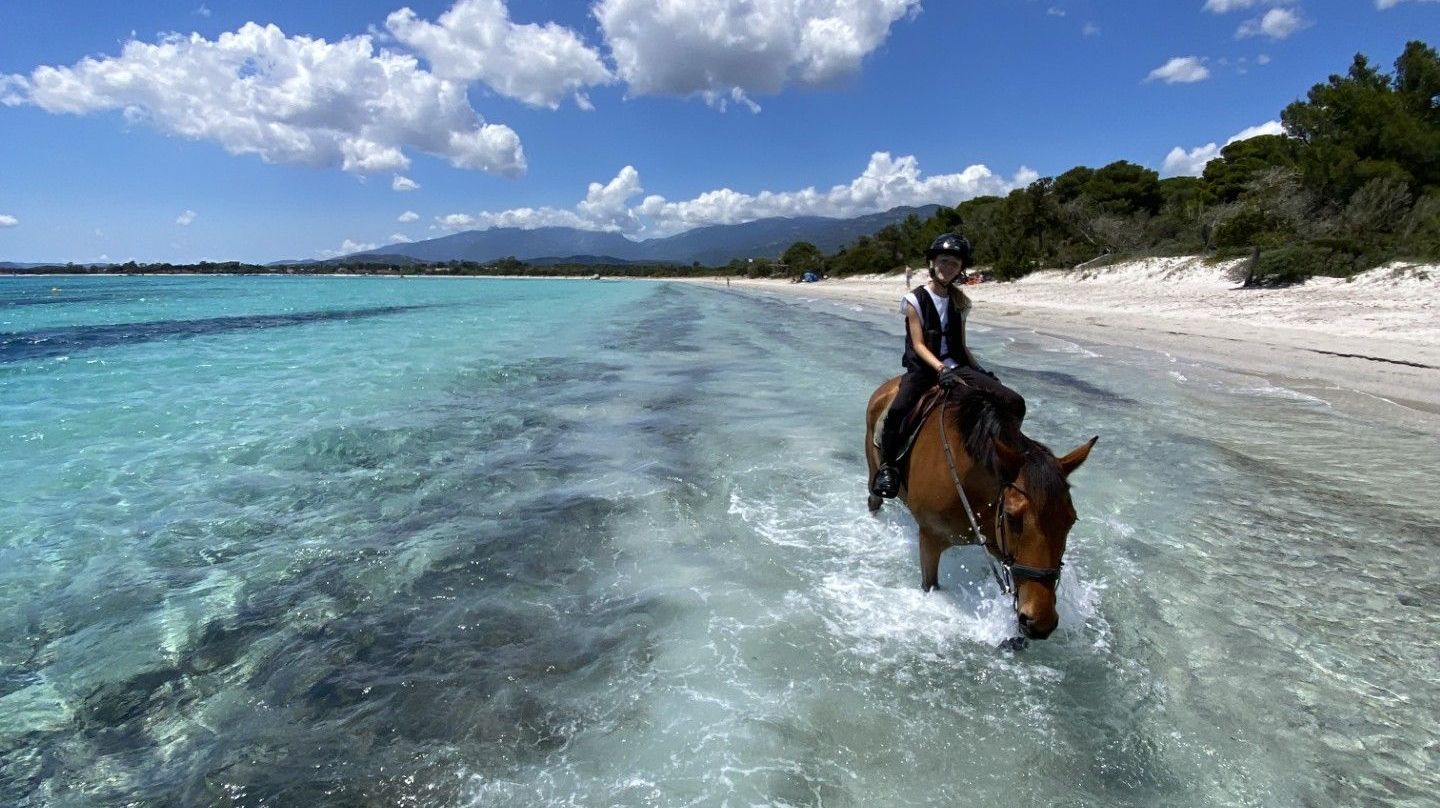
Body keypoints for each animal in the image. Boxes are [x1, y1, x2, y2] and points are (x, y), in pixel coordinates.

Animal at [865, 376, 1097, 640]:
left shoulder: (998, 542)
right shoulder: (930, 539)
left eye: (1071, 520)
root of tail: (890, 384)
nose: (1041, 620)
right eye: (1011, 517)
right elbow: (930, 583)